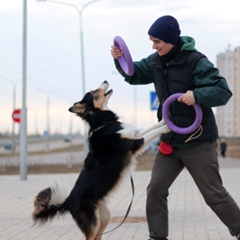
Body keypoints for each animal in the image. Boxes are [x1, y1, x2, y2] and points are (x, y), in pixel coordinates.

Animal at [31, 81, 170, 240]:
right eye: (94, 92)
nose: (105, 81)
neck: (103, 122)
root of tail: (68, 201)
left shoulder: (133, 136)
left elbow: (150, 128)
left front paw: (163, 120)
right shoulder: (134, 144)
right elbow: (152, 133)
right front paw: (166, 127)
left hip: (104, 217)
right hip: (93, 223)